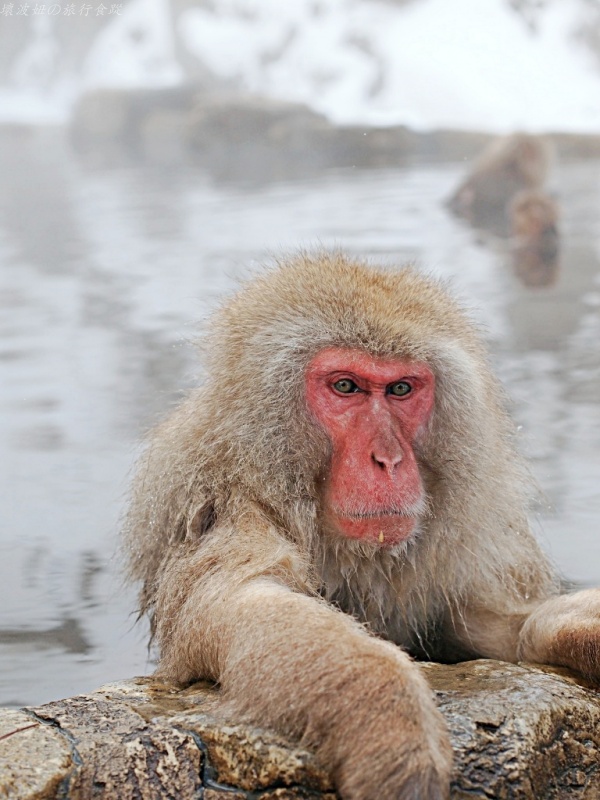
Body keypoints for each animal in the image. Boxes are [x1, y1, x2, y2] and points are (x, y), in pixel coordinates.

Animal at [124, 252, 600, 800]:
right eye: (346, 387)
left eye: (400, 389)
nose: (387, 460)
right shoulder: (224, 502)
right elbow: (237, 599)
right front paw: (392, 715)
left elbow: (486, 624)